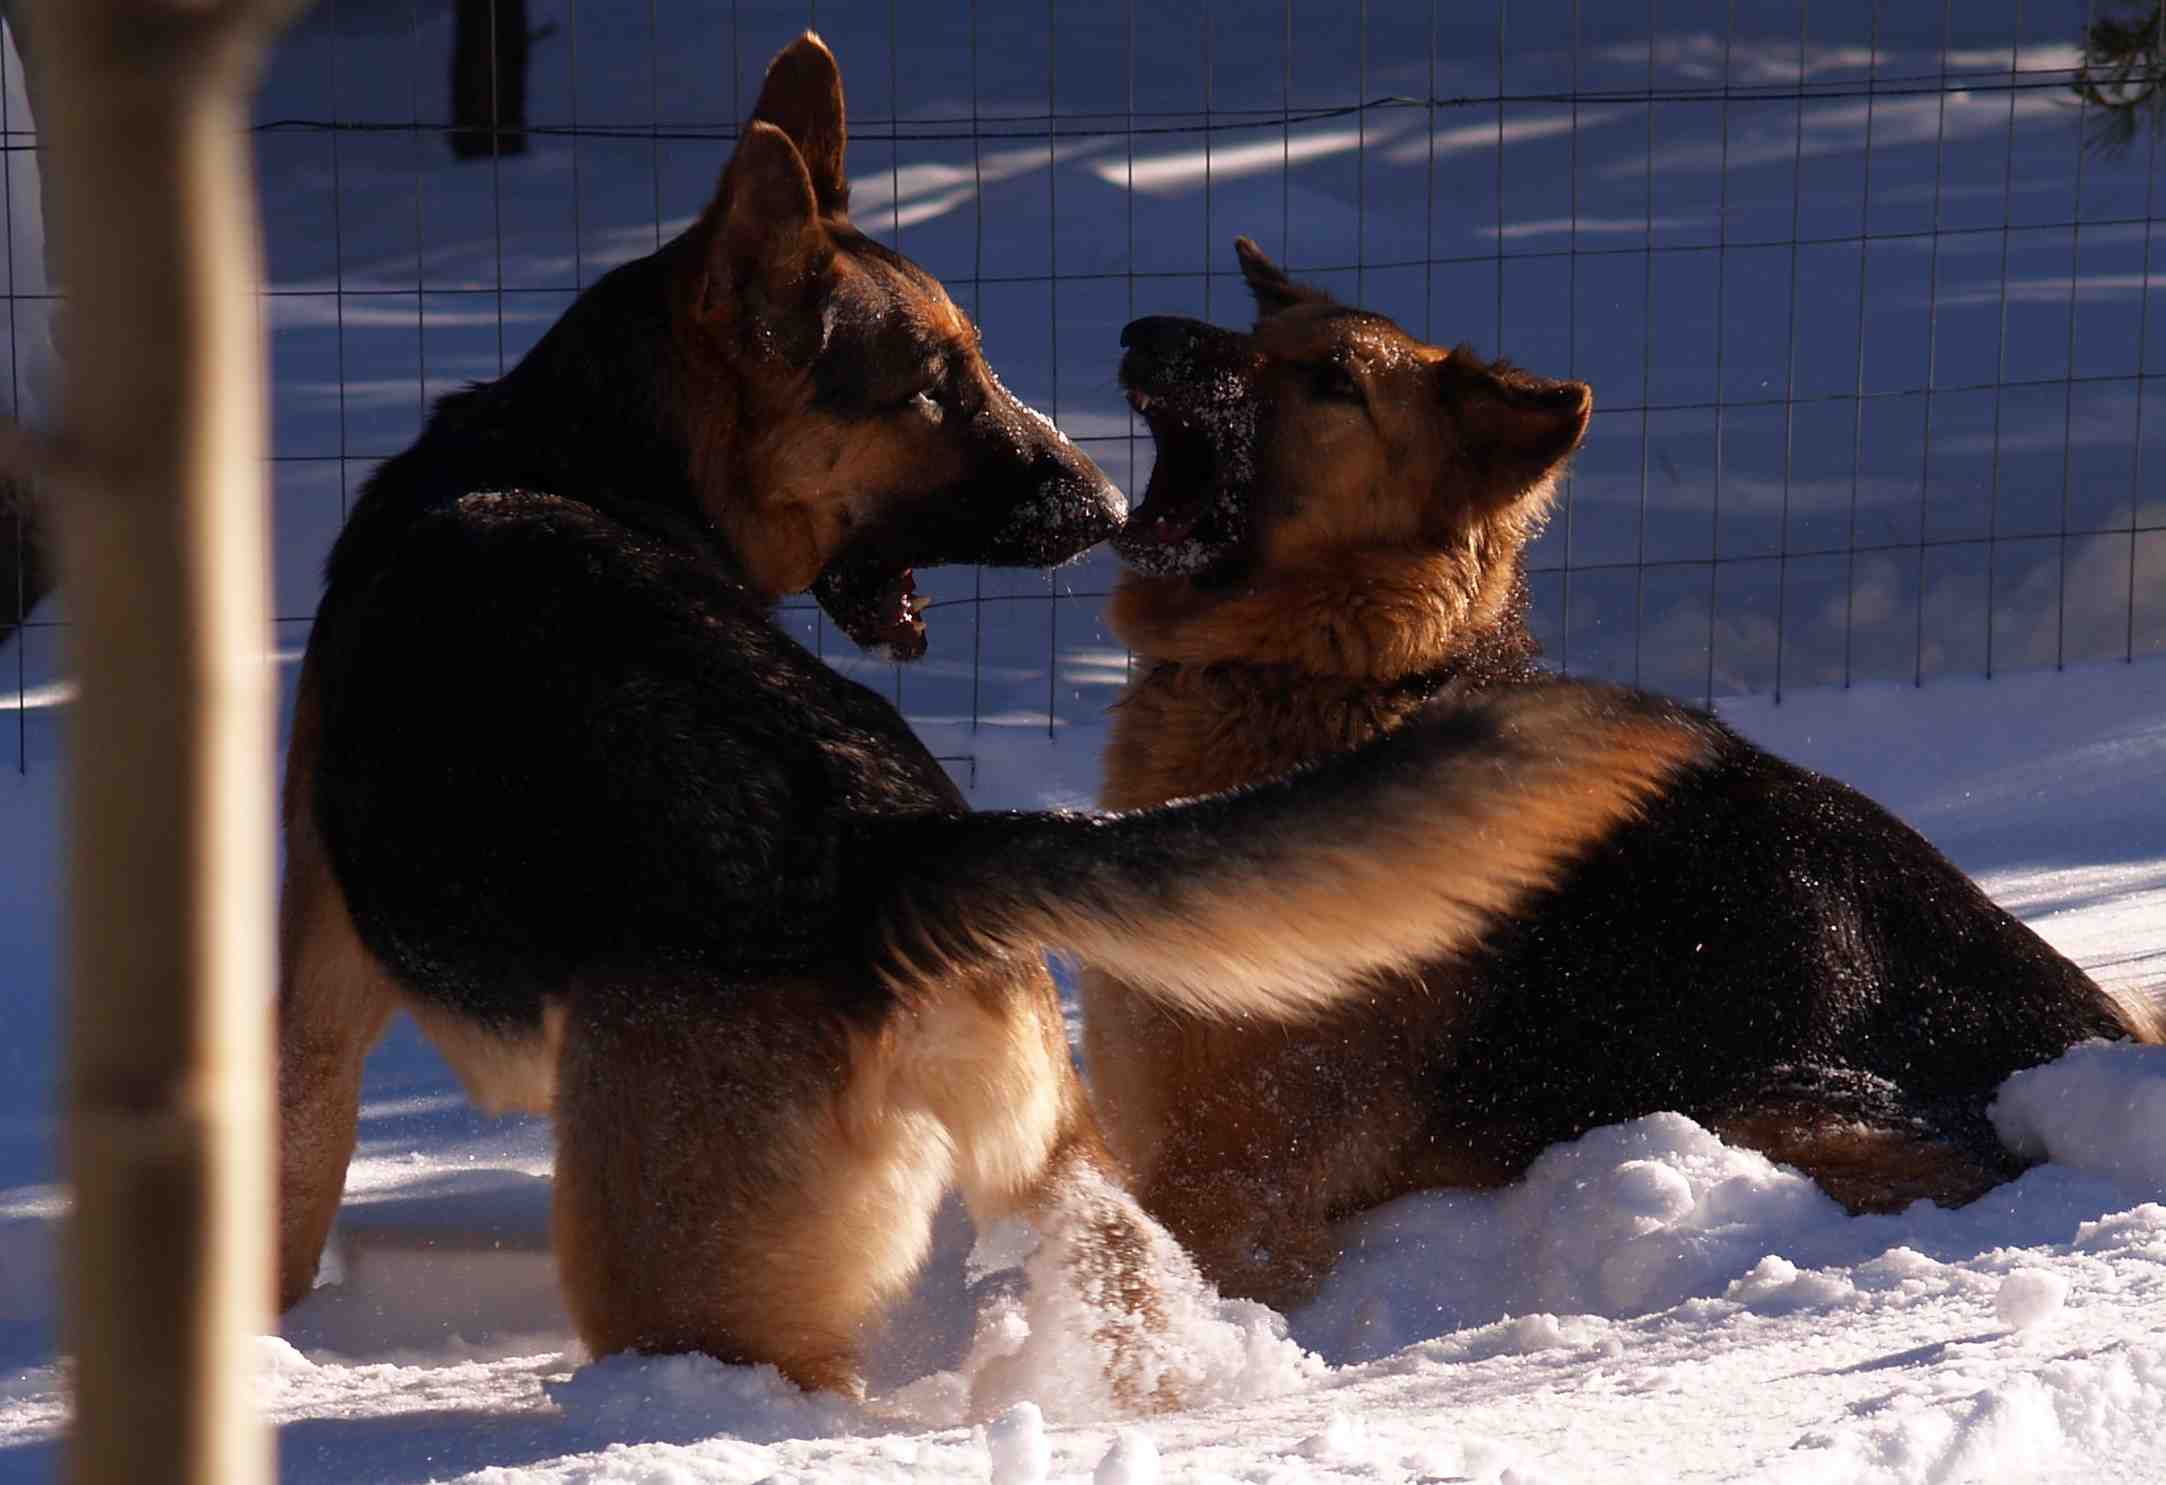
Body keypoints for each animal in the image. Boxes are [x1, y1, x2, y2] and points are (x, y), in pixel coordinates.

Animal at [270, 37, 1698, 1411]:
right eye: (932, 389)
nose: (1100, 506)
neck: (566, 452)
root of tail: (902, 853)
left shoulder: (314, 999)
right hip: (1070, 1173)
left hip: (680, 1287)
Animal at [1091, 235, 2157, 1316]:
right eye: (1258, 334)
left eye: (1334, 381)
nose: (1142, 332)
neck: (1346, 675)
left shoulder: (1240, 1185)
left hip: (1769, 1099)